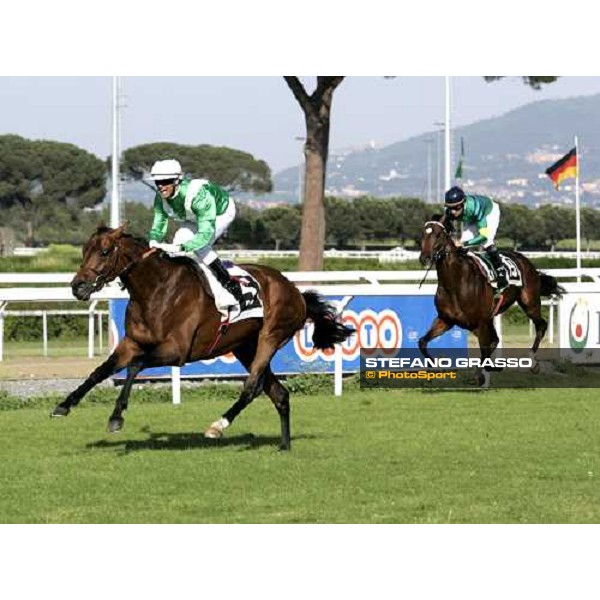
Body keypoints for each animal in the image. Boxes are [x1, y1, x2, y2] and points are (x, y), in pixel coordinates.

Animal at [51, 226, 354, 450]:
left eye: (104, 251)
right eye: (84, 250)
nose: (77, 286)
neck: (156, 290)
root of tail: (295, 291)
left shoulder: (176, 350)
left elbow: (136, 366)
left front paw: (116, 417)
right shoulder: (131, 343)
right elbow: (100, 371)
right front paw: (64, 405)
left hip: (271, 336)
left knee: (252, 387)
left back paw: (218, 426)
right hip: (245, 346)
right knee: (279, 393)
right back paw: (284, 445)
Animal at [420, 216, 564, 384]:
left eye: (438, 235)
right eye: (423, 234)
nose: (424, 258)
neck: (454, 282)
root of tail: (526, 261)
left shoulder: (480, 323)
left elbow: (486, 357)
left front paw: (491, 369)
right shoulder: (446, 320)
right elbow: (422, 342)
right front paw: (437, 366)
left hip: (529, 302)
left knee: (541, 325)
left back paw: (532, 362)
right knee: (495, 340)